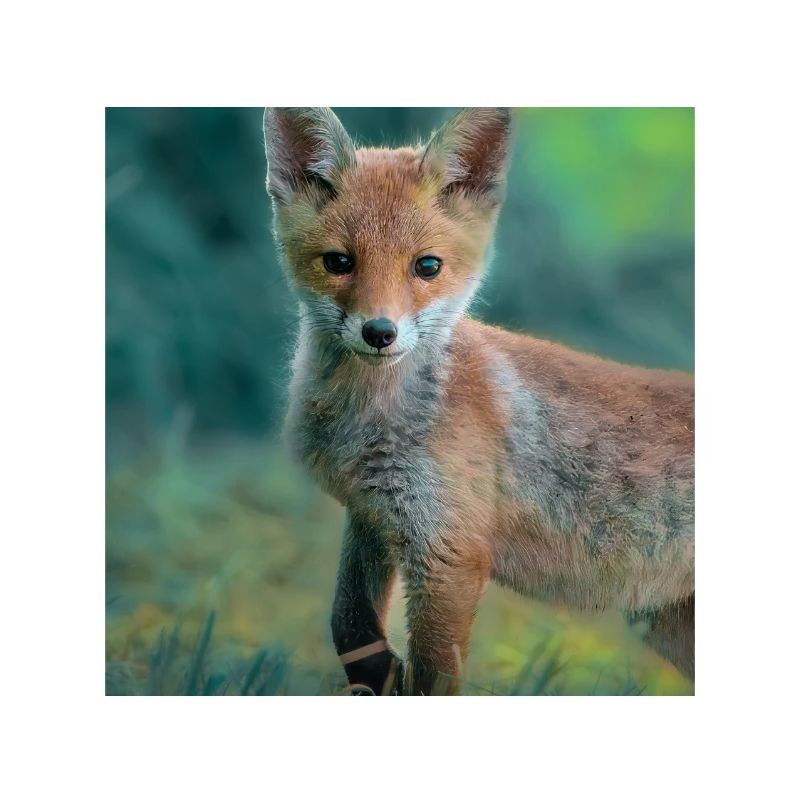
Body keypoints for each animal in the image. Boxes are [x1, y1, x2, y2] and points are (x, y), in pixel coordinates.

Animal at [263, 107, 694, 695]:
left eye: (427, 267)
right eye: (338, 262)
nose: (379, 332)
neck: (369, 424)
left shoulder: (450, 552)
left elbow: (433, 679)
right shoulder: (374, 515)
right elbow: (350, 626)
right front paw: (379, 674)